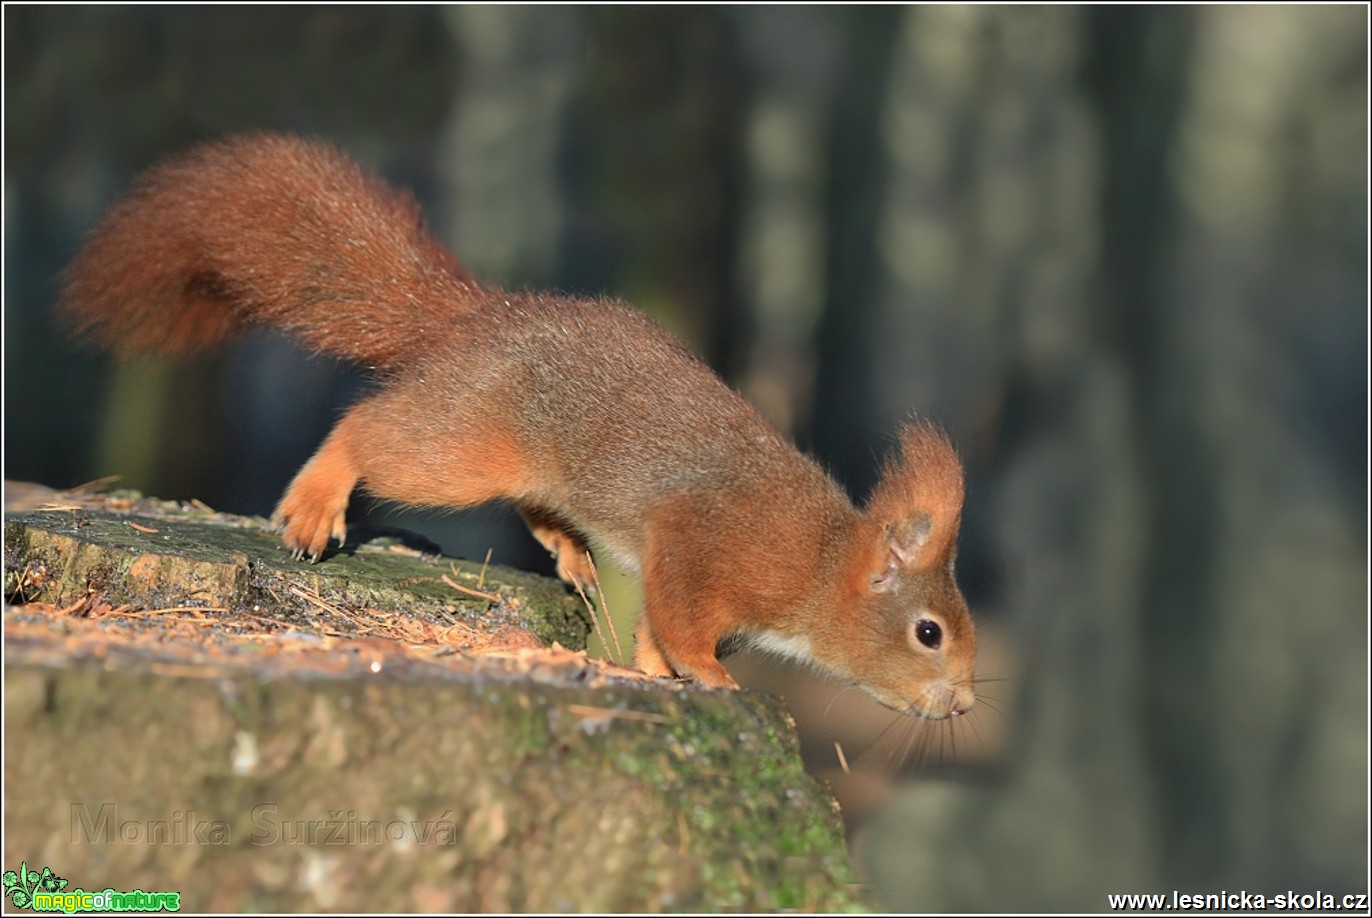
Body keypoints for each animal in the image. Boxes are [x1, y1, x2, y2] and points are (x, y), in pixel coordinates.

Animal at [56, 130, 976, 713]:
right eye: (928, 632)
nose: (964, 704)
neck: (819, 563)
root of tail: (478, 318)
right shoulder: (706, 541)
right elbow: (680, 623)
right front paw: (711, 682)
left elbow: (653, 630)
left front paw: (652, 675)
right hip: (461, 447)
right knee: (370, 432)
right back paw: (318, 500)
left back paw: (568, 550)